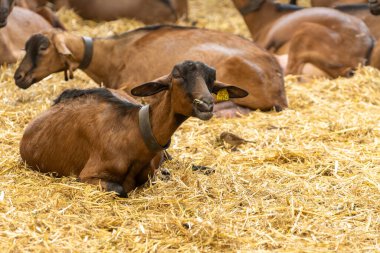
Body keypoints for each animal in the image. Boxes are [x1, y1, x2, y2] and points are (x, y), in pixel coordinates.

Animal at [19, 60, 248, 198]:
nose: (206, 105)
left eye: (211, 80)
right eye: (177, 75)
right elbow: (121, 190)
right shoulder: (88, 176)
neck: (135, 134)